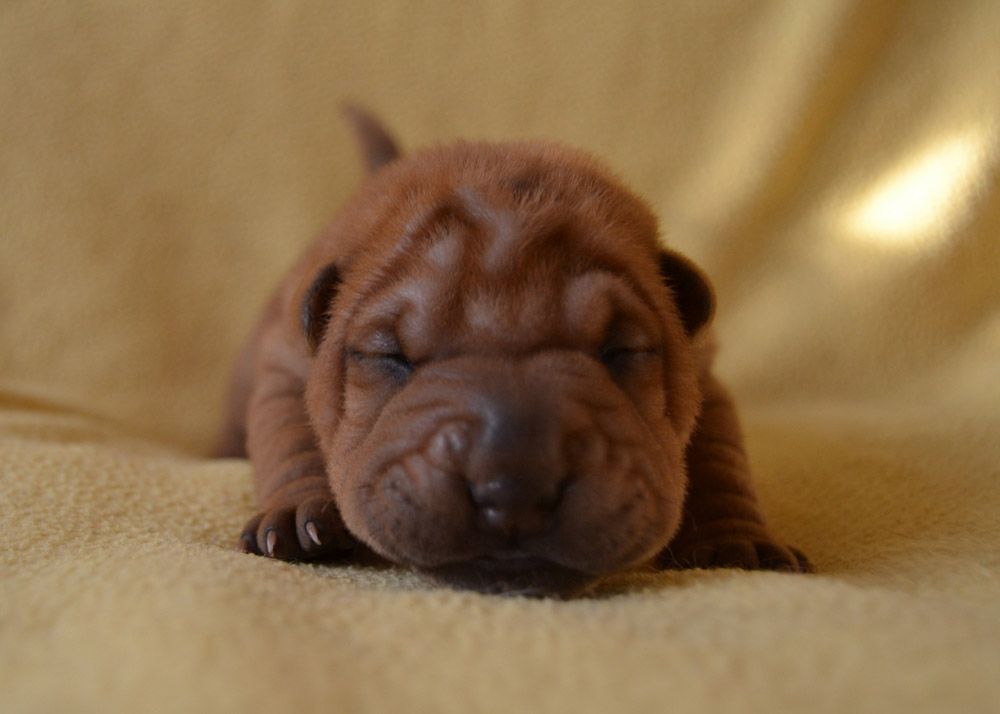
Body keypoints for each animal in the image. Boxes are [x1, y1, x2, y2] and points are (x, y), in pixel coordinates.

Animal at [215, 107, 808, 596]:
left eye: (620, 350)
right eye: (392, 357)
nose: (515, 490)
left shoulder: (707, 379)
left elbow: (719, 460)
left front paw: (737, 539)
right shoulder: (284, 365)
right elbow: (290, 437)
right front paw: (299, 516)